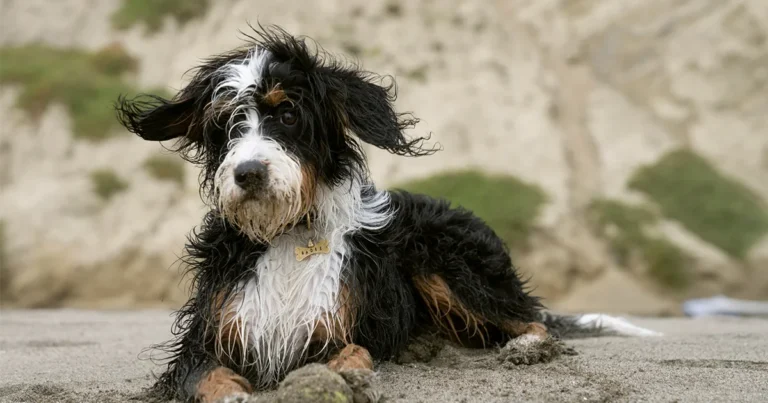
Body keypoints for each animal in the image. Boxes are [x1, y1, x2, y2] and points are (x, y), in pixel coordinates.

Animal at [117, 26, 656, 403]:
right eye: (226, 124)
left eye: (288, 113)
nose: (248, 173)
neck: (287, 233)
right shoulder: (205, 338)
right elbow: (207, 375)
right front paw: (234, 393)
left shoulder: (340, 326)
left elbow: (355, 351)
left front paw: (354, 375)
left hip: (444, 259)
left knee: (529, 318)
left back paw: (524, 347)